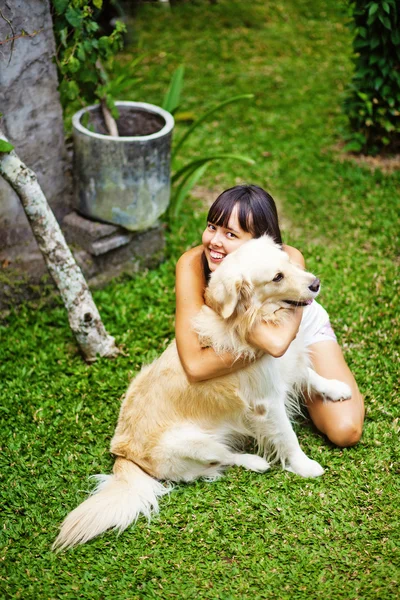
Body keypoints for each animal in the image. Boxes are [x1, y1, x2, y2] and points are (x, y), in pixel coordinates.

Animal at [53, 233, 350, 548]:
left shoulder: (285, 362)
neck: (251, 317)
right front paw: (304, 465)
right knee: (219, 460)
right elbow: (288, 437)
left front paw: (335, 388)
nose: (316, 282)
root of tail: (121, 456)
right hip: (190, 442)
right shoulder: (266, 402)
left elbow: (309, 374)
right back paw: (253, 461)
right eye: (277, 277)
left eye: (288, 262)